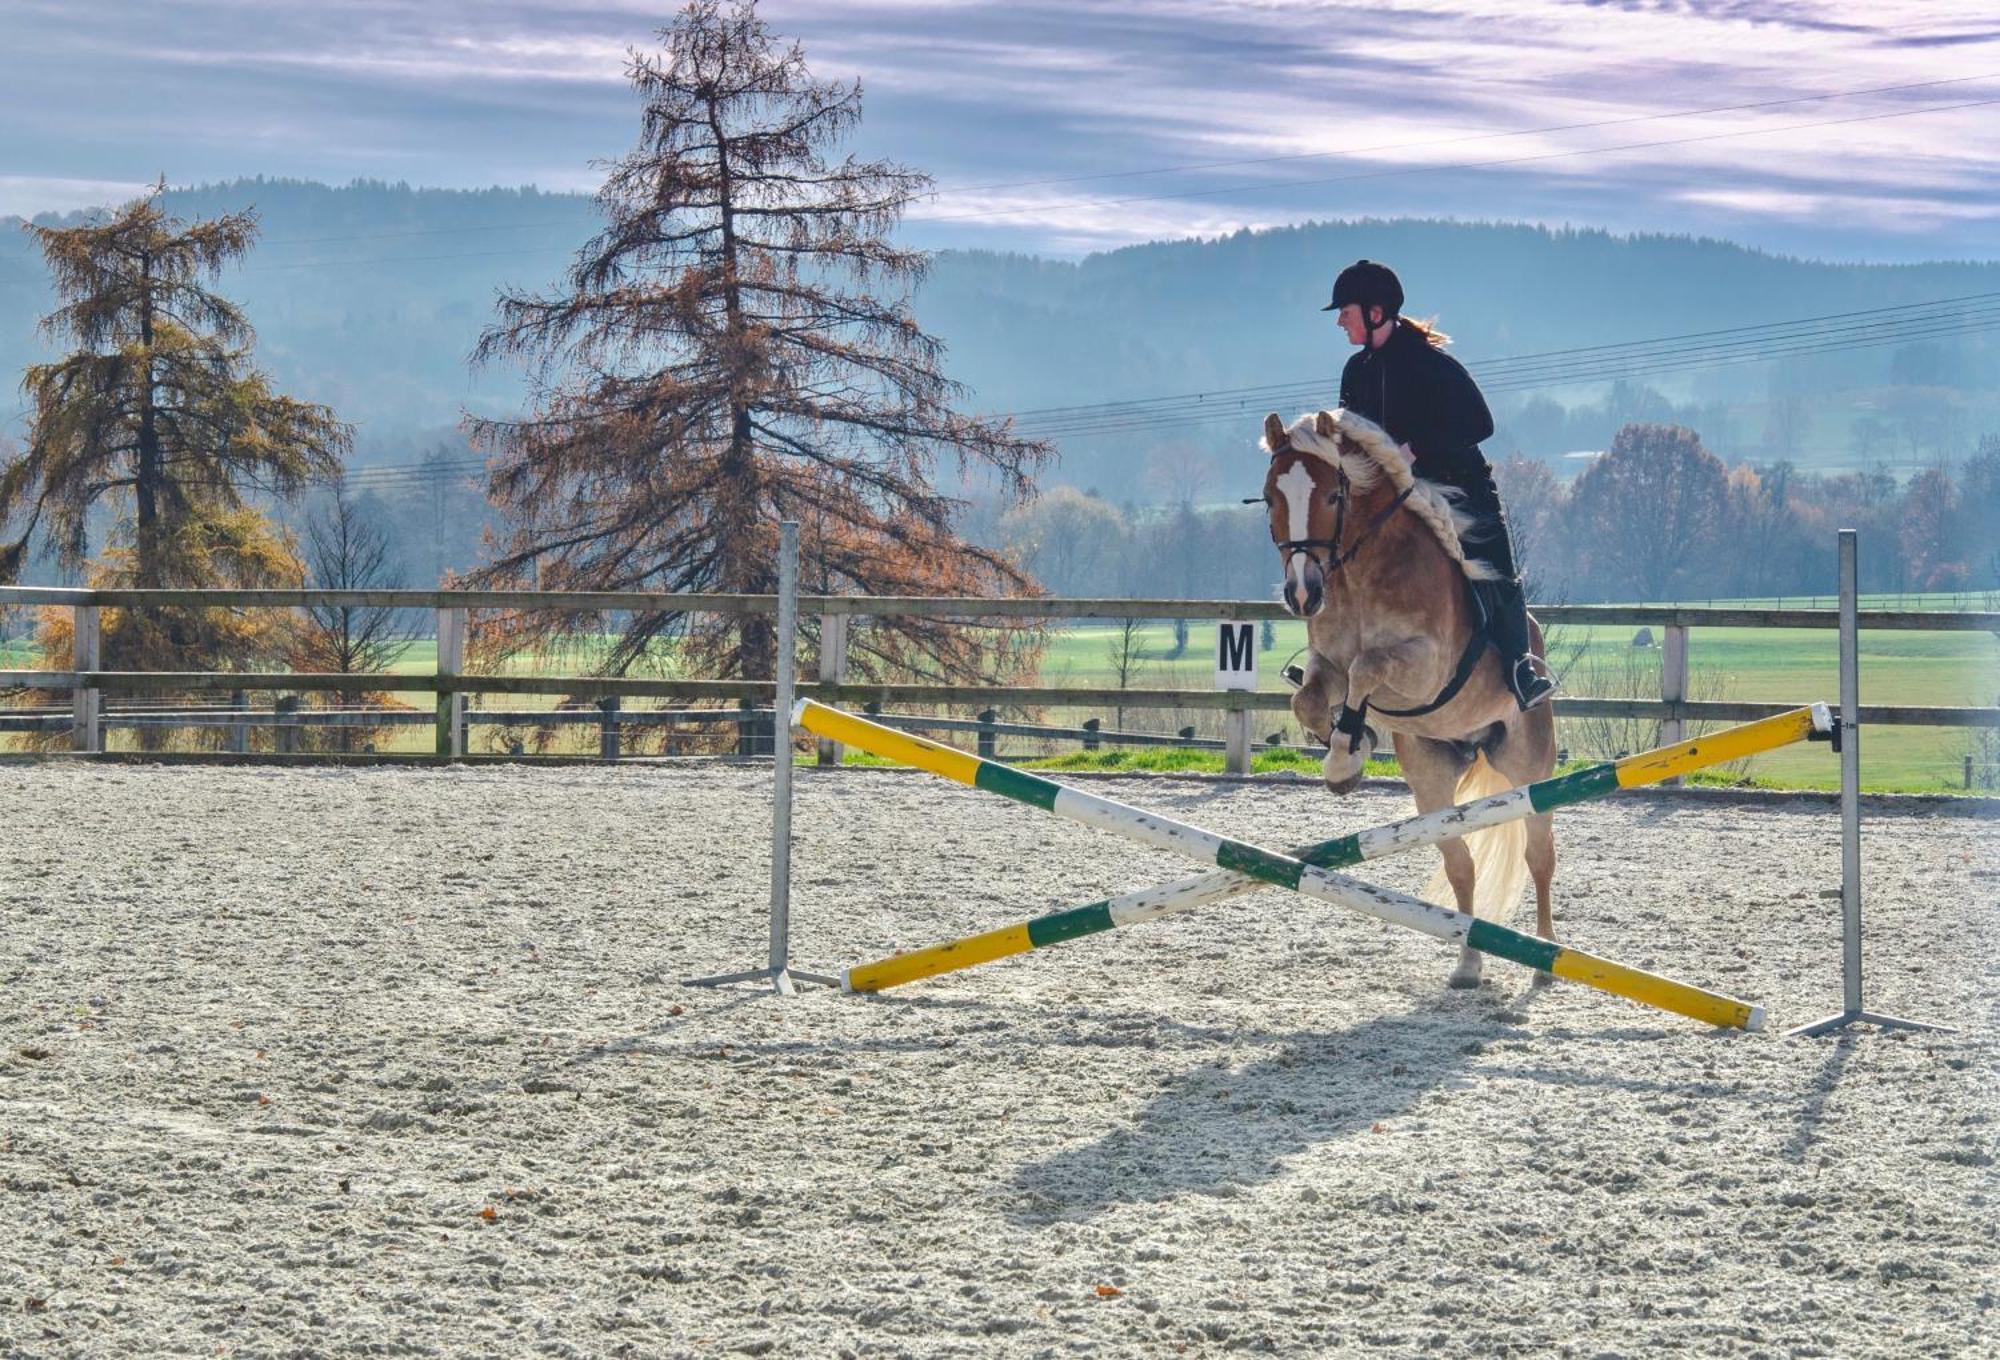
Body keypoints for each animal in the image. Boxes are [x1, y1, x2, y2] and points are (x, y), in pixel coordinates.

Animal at [1256, 404, 1552, 988]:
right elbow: (1311, 700)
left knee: (1538, 855)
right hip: (1432, 774)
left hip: (1529, 766)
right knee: (1460, 863)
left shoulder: (1425, 665)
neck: (1356, 573)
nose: (1302, 594)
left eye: (1333, 497)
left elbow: (1368, 668)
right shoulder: (1325, 665)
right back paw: (1468, 963)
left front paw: (1347, 750)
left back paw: (1547, 959)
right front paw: (1348, 754)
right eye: (1271, 496)